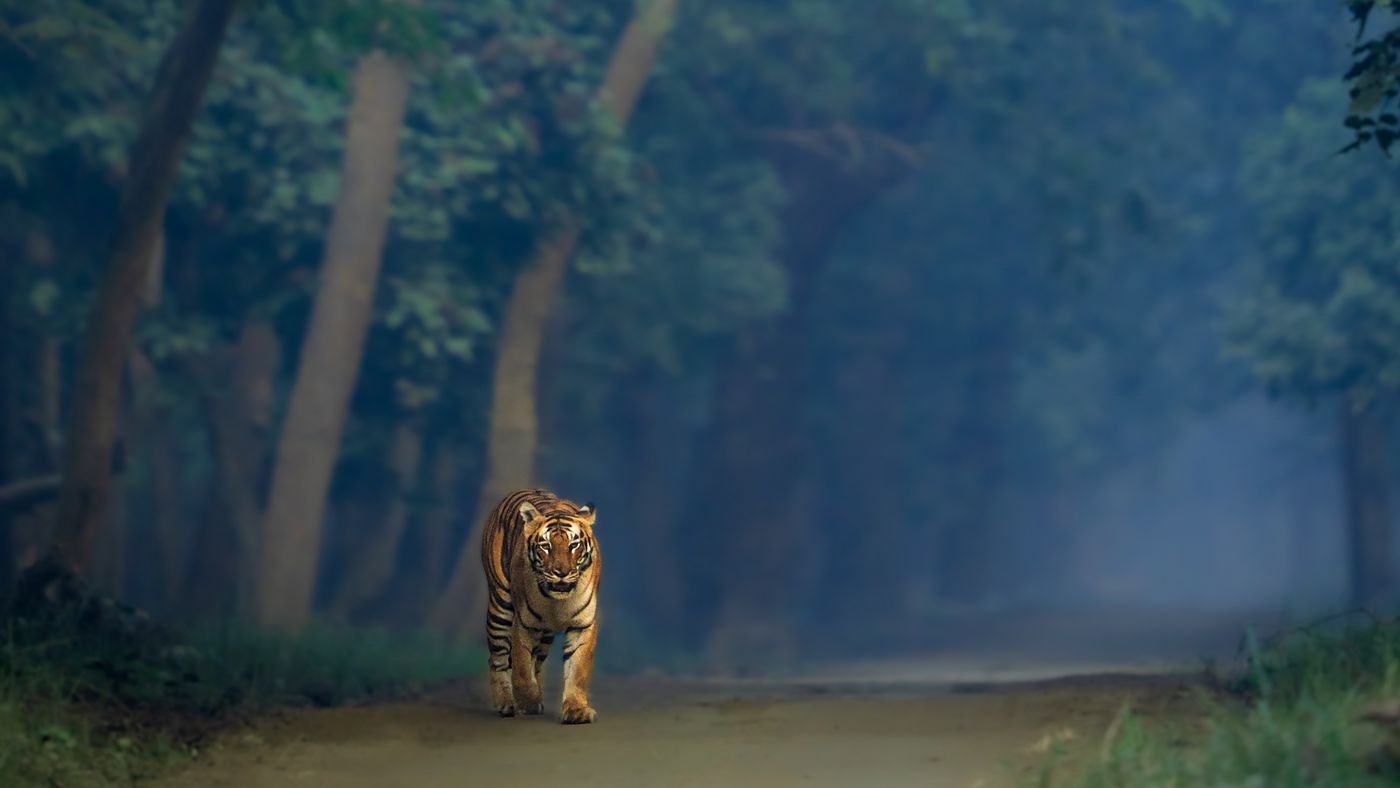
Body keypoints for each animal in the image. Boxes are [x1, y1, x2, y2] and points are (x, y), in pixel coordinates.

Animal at [481, 488, 601, 724]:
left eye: (573, 545)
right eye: (546, 546)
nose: (561, 572)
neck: (558, 602)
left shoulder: (582, 624)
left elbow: (577, 670)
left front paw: (576, 710)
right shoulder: (523, 624)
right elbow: (521, 669)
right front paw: (528, 701)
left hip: (545, 635)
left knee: (536, 661)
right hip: (500, 606)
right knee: (497, 658)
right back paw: (505, 703)